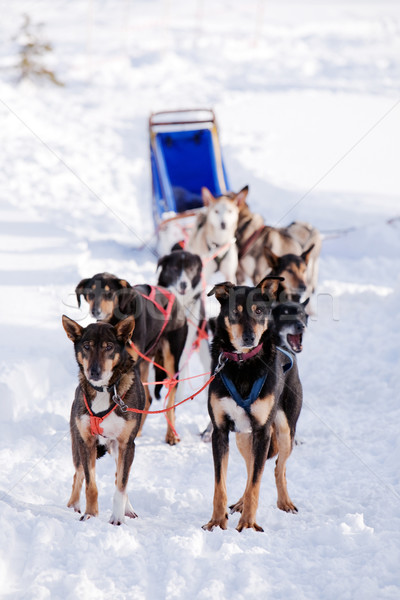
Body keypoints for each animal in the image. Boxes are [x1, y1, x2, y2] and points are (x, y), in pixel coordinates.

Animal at [61, 314, 145, 524]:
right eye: (86, 346)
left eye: (109, 347)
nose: (94, 371)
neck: (105, 390)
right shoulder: (87, 441)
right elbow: (90, 484)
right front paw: (90, 514)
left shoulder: (126, 444)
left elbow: (121, 485)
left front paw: (117, 518)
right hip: (78, 444)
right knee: (78, 474)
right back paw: (73, 505)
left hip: (117, 449)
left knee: (119, 476)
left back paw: (127, 509)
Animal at [75, 274, 188, 442]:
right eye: (90, 292)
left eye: (109, 293)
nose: (96, 311)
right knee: (148, 398)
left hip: (170, 361)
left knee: (170, 399)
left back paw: (171, 434)